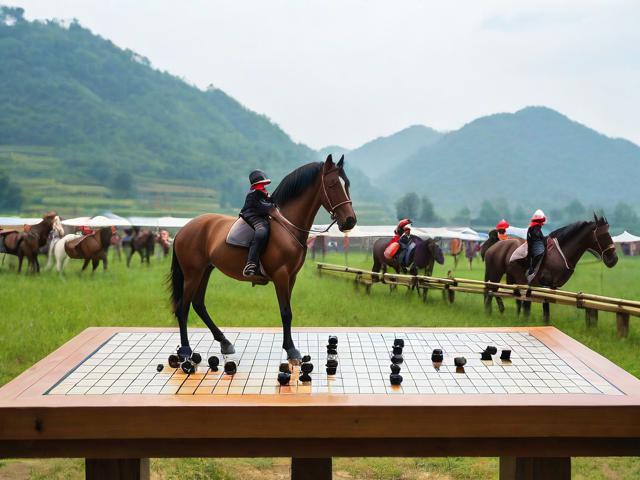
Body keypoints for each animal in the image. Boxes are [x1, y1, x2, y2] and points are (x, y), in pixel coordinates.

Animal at [167, 155, 356, 364]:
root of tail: (183, 229)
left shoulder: (291, 277)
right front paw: (291, 350)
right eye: (332, 185)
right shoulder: (281, 275)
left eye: (347, 184)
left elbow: (288, 311)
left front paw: (289, 347)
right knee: (183, 308)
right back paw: (185, 350)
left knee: (198, 304)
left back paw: (224, 342)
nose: (350, 221)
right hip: (192, 273)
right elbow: (286, 312)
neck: (287, 226)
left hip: (205, 270)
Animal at [483, 214, 617, 318]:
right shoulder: (546, 284)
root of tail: (492, 248)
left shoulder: (552, 286)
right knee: (491, 291)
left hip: (511, 277)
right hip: (496, 274)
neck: (561, 253)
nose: (613, 259)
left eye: (609, 234)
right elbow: (544, 306)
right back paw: (490, 311)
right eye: (602, 235)